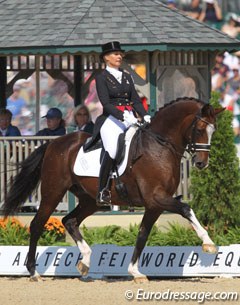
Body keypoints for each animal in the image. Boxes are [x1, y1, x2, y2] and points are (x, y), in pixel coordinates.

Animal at [1, 97, 223, 280]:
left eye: (214, 130)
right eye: (200, 128)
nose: (202, 163)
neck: (159, 146)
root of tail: (54, 144)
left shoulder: (155, 205)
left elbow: (142, 234)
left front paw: (135, 272)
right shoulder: (156, 197)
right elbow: (186, 208)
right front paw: (209, 243)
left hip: (90, 200)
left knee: (69, 221)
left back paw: (85, 261)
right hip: (53, 193)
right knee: (37, 225)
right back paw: (34, 272)